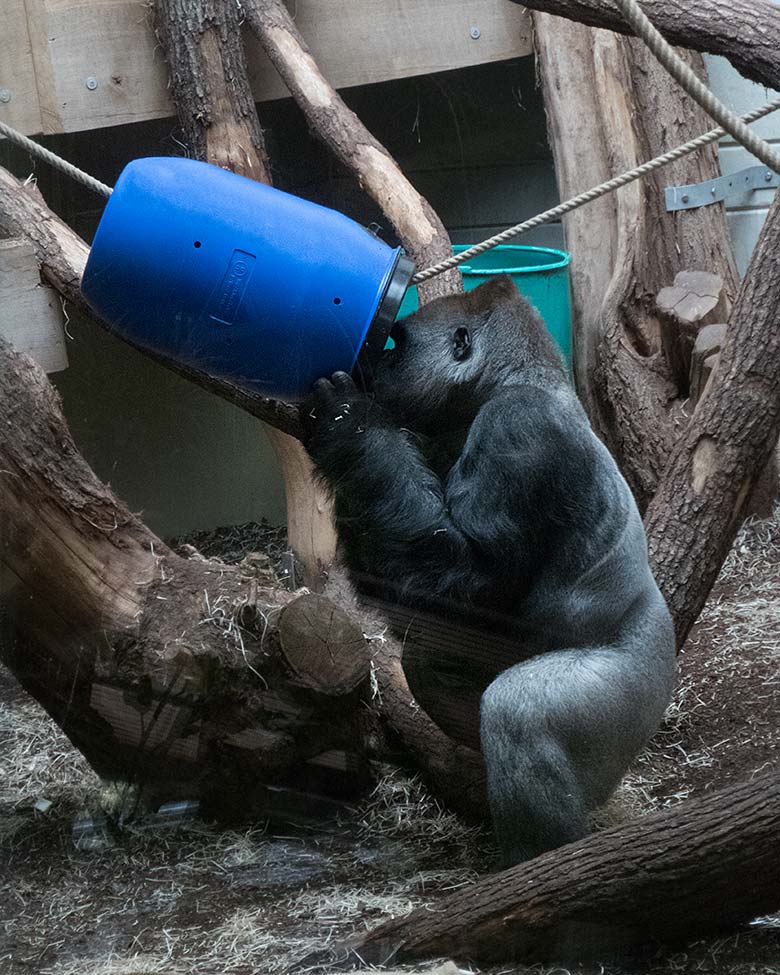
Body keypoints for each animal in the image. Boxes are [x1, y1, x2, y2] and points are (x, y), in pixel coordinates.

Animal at [304, 274, 676, 860]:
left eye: (396, 345)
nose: (373, 367)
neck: (510, 380)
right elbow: (418, 584)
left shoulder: (517, 426)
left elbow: (471, 582)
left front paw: (350, 427)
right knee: (428, 660)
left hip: (638, 689)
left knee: (516, 711)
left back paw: (544, 861)